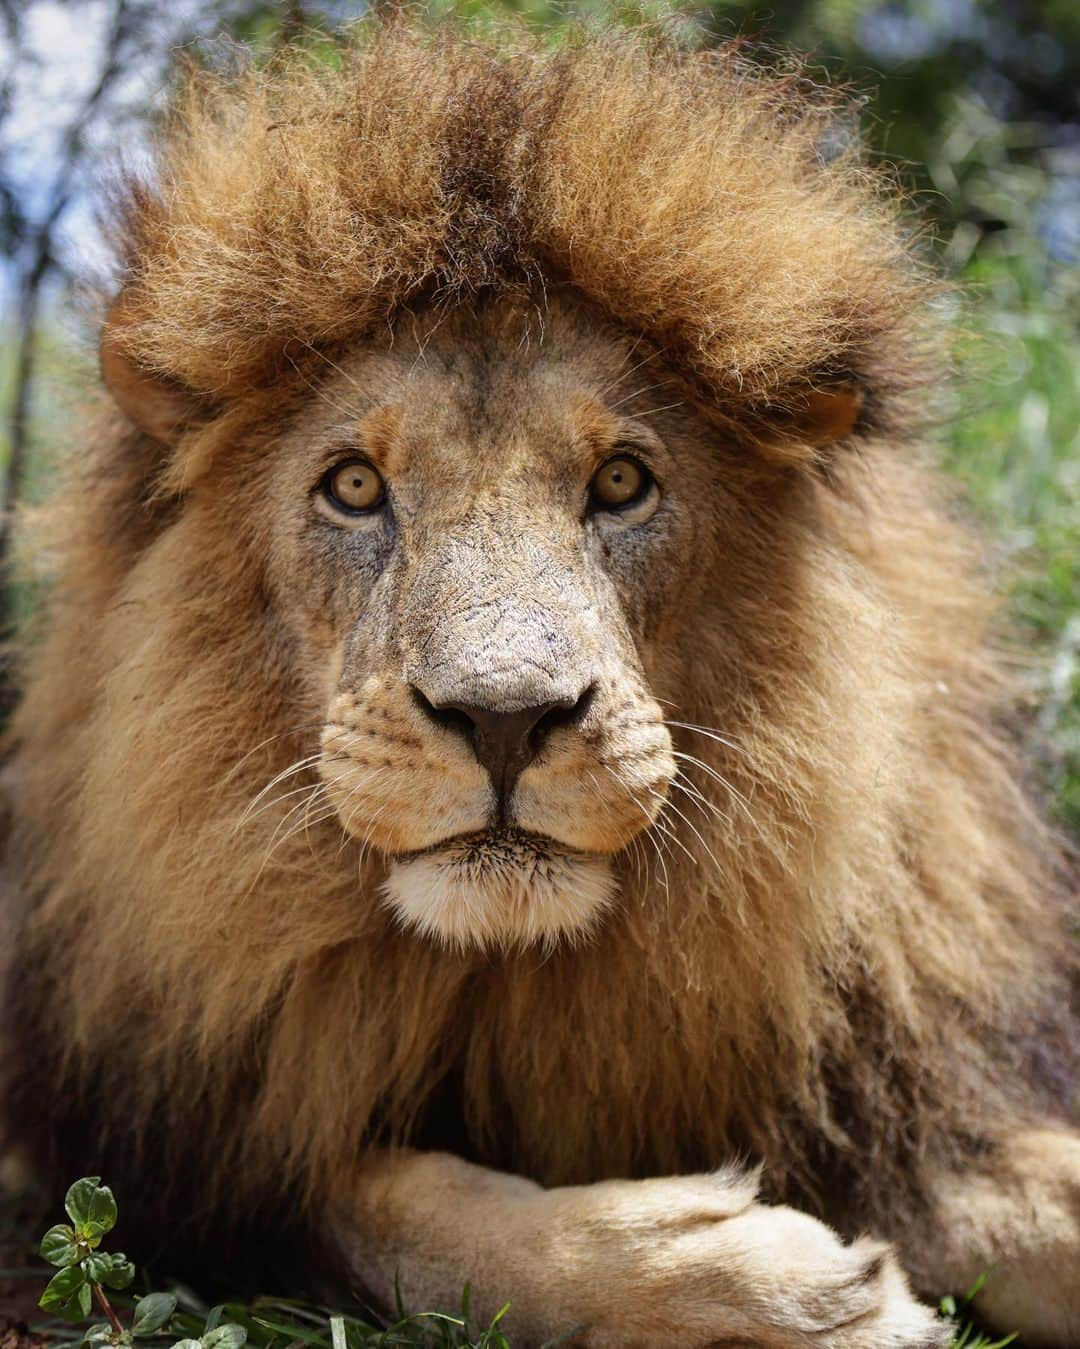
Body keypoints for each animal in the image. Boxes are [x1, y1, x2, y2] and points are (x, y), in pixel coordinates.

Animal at [2, 18, 1078, 1349]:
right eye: (352, 486)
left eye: (622, 483)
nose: (505, 718)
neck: (515, 979)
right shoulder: (197, 1159)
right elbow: (407, 1210)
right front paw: (771, 1283)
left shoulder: (896, 1093)